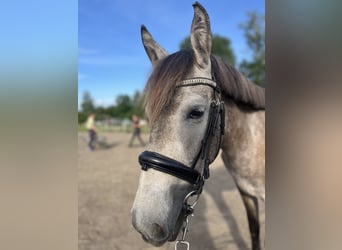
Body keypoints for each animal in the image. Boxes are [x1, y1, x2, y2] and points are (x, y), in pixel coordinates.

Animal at [132, 2, 266, 250]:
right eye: (149, 115)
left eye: (196, 112)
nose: (145, 223)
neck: (253, 140)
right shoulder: (247, 194)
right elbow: (254, 233)